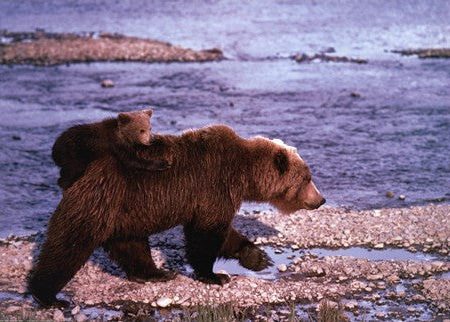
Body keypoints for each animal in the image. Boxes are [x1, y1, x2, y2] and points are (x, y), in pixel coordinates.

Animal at [27, 124, 324, 306]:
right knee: (68, 245)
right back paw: (48, 295)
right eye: (307, 178)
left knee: (131, 245)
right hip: (100, 199)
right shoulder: (213, 185)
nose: (320, 200)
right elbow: (206, 235)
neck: (244, 174)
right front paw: (215, 276)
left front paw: (258, 257)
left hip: (125, 213)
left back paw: (155, 273)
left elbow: (224, 233)